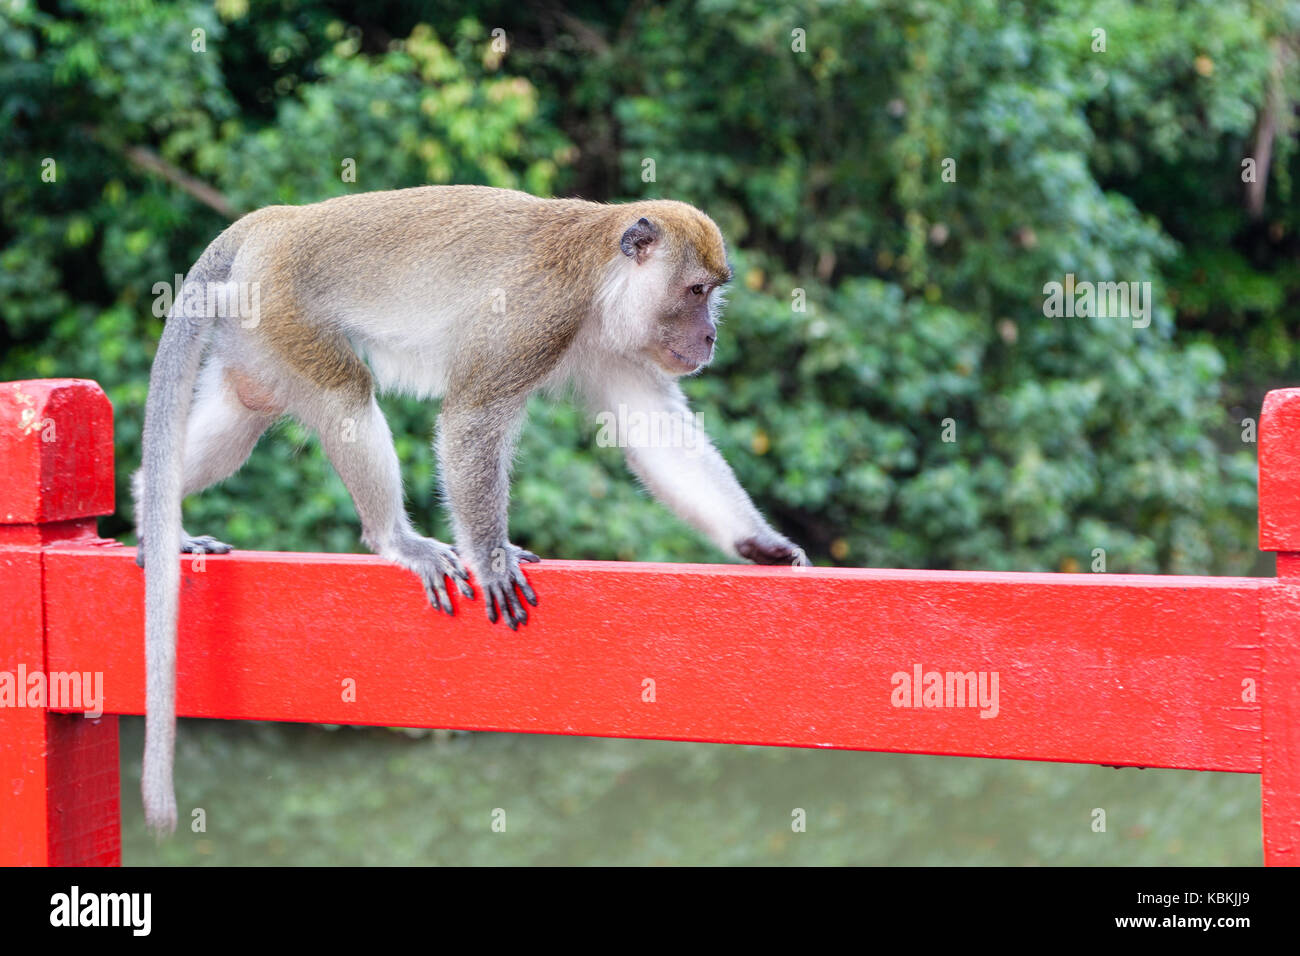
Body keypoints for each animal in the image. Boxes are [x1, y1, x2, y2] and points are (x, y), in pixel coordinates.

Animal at [131, 184, 800, 832]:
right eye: (696, 291)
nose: (709, 336)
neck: (598, 279)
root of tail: (274, 220)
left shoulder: (615, 344)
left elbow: (652, 429)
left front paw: (759, 542)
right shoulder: (536, 315)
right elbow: (472, 417)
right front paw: (491, 556)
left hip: (254, 329)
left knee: (248, 404)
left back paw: (154, 518)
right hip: (283, 309)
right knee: (344, 393)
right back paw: (395, 539)